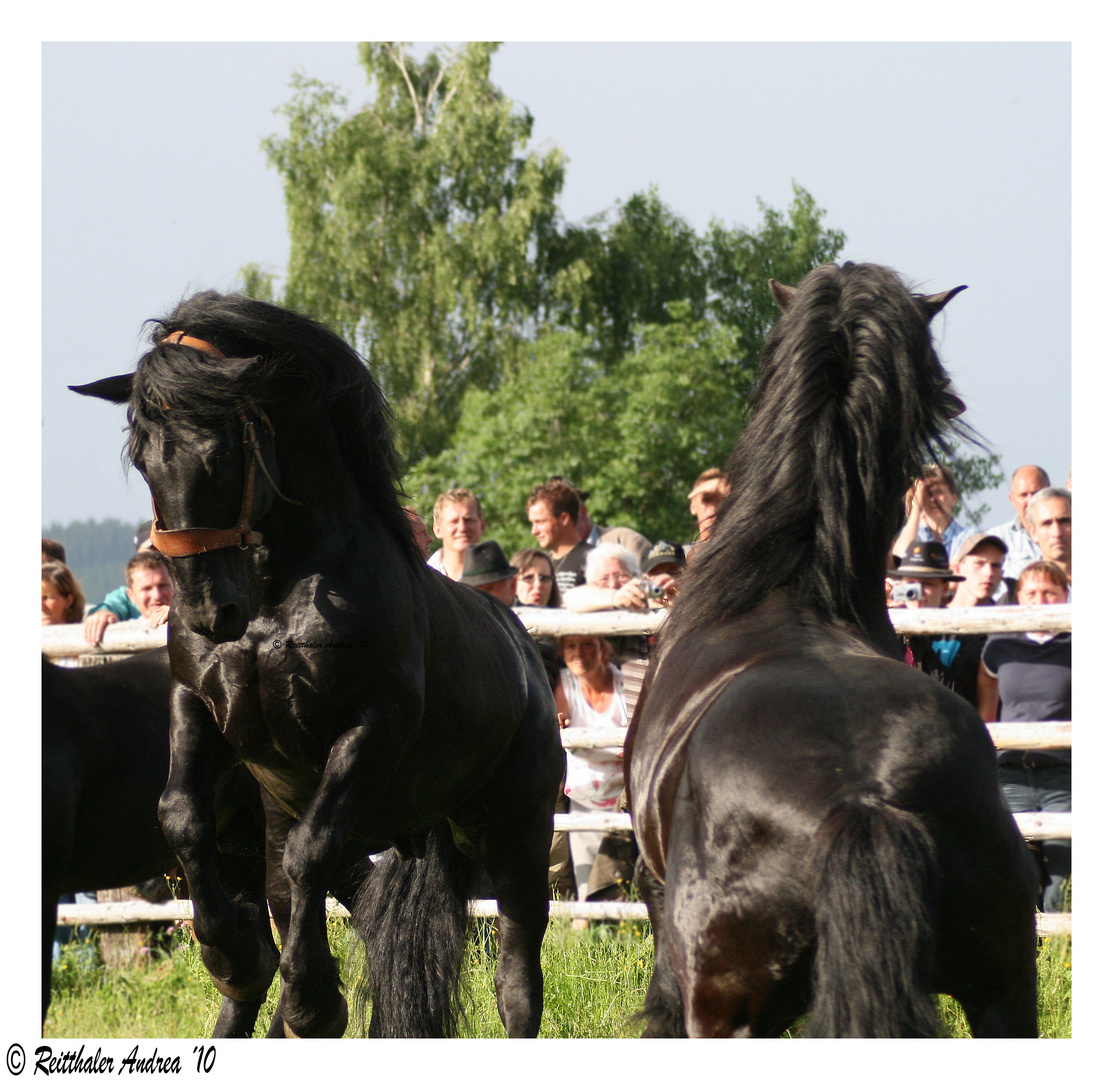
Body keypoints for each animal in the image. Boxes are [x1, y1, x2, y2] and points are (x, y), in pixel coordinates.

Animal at [74, 293, 565, 1037]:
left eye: (222, 450)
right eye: (143, 456)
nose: (206, 610)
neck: (277, 595)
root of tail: (528, 658)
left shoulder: (370, 726)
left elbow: (312, 850)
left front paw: (310, 997)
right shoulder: (197, 705)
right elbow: (182, 815)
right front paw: (232, 956)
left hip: (516, 834)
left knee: (516, 979)